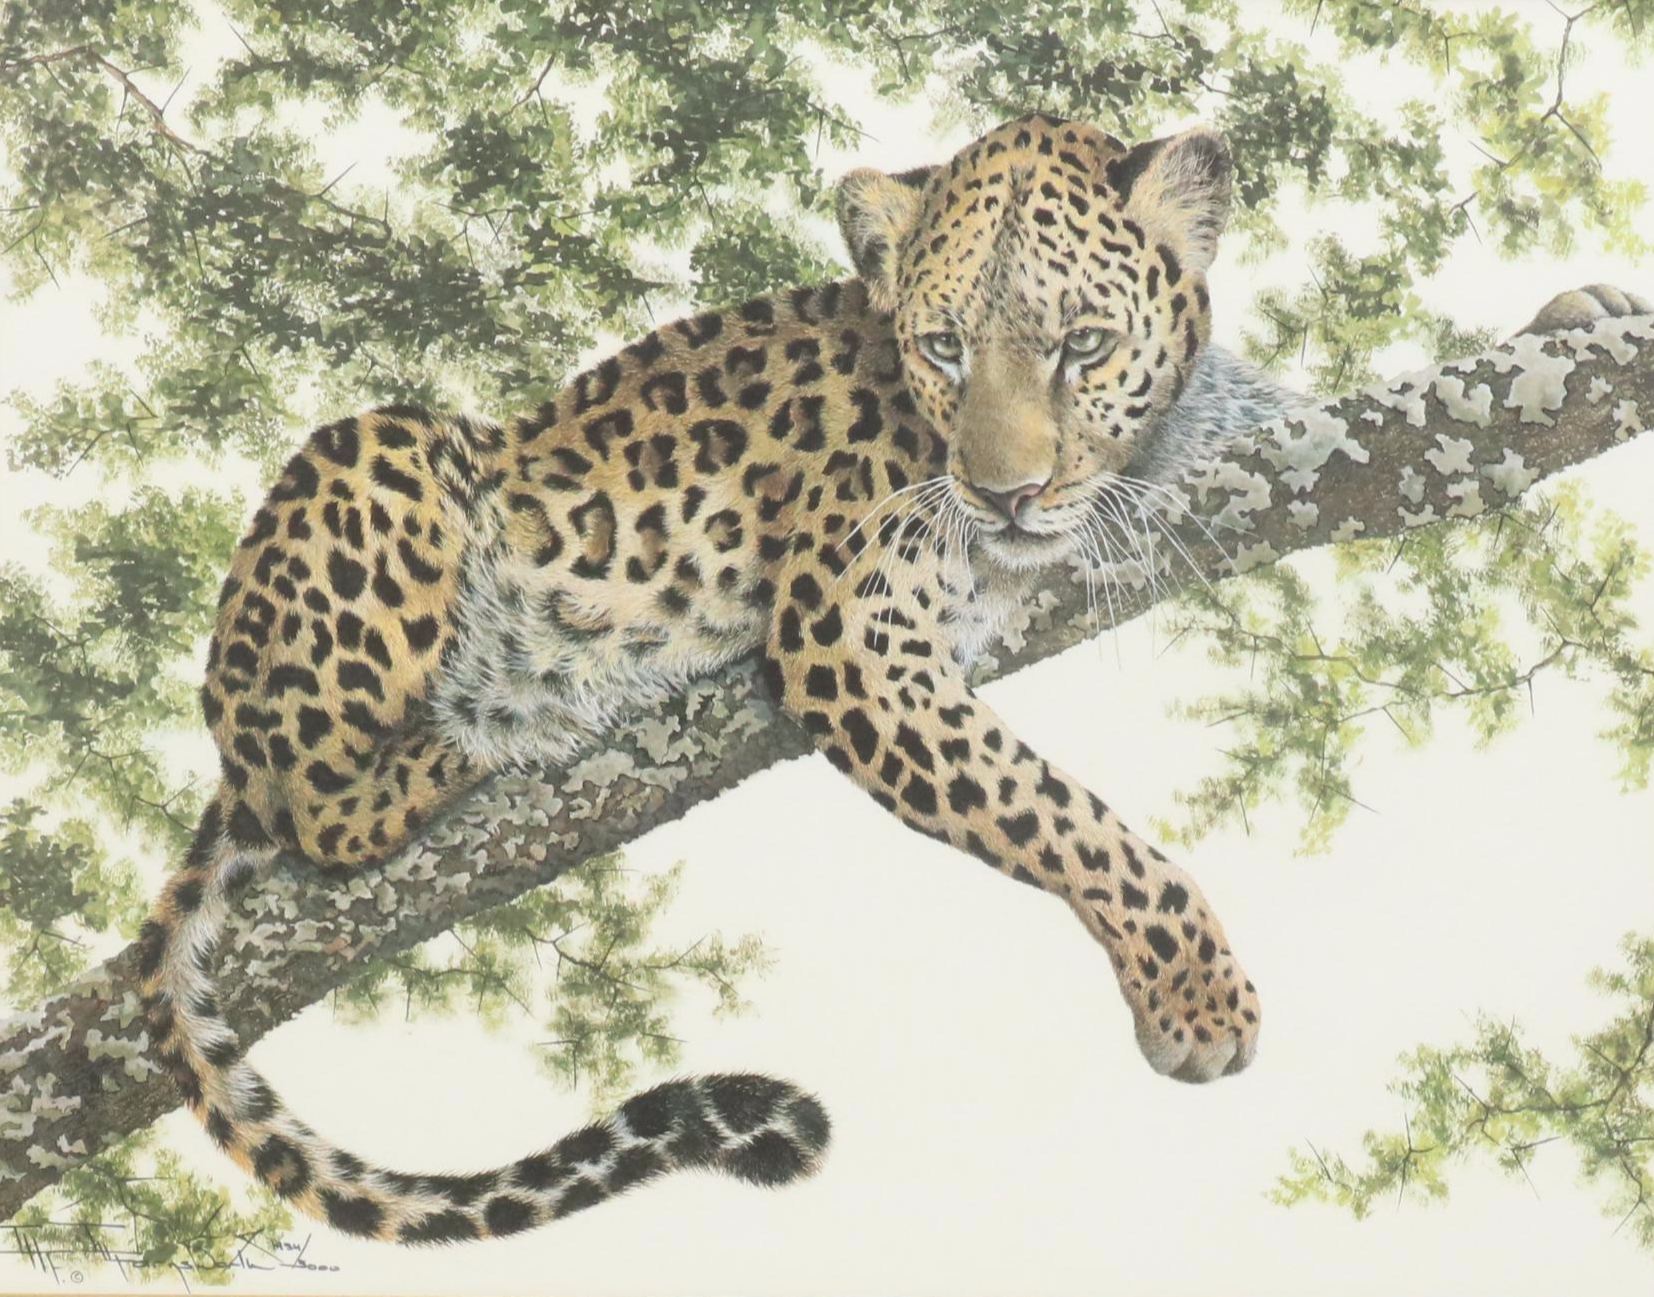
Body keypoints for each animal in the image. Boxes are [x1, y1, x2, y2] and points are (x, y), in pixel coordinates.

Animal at [134, 111, 1653, 1245]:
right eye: (940, 346)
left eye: (1081, 346)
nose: (1005, 493)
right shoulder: (848, 637)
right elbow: (1066, 817)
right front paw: (1196, 997)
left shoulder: (1234, 436)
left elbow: (1335, 410)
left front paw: (1572, 308)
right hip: (376, 460)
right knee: (310, 802)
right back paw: (496, 725)